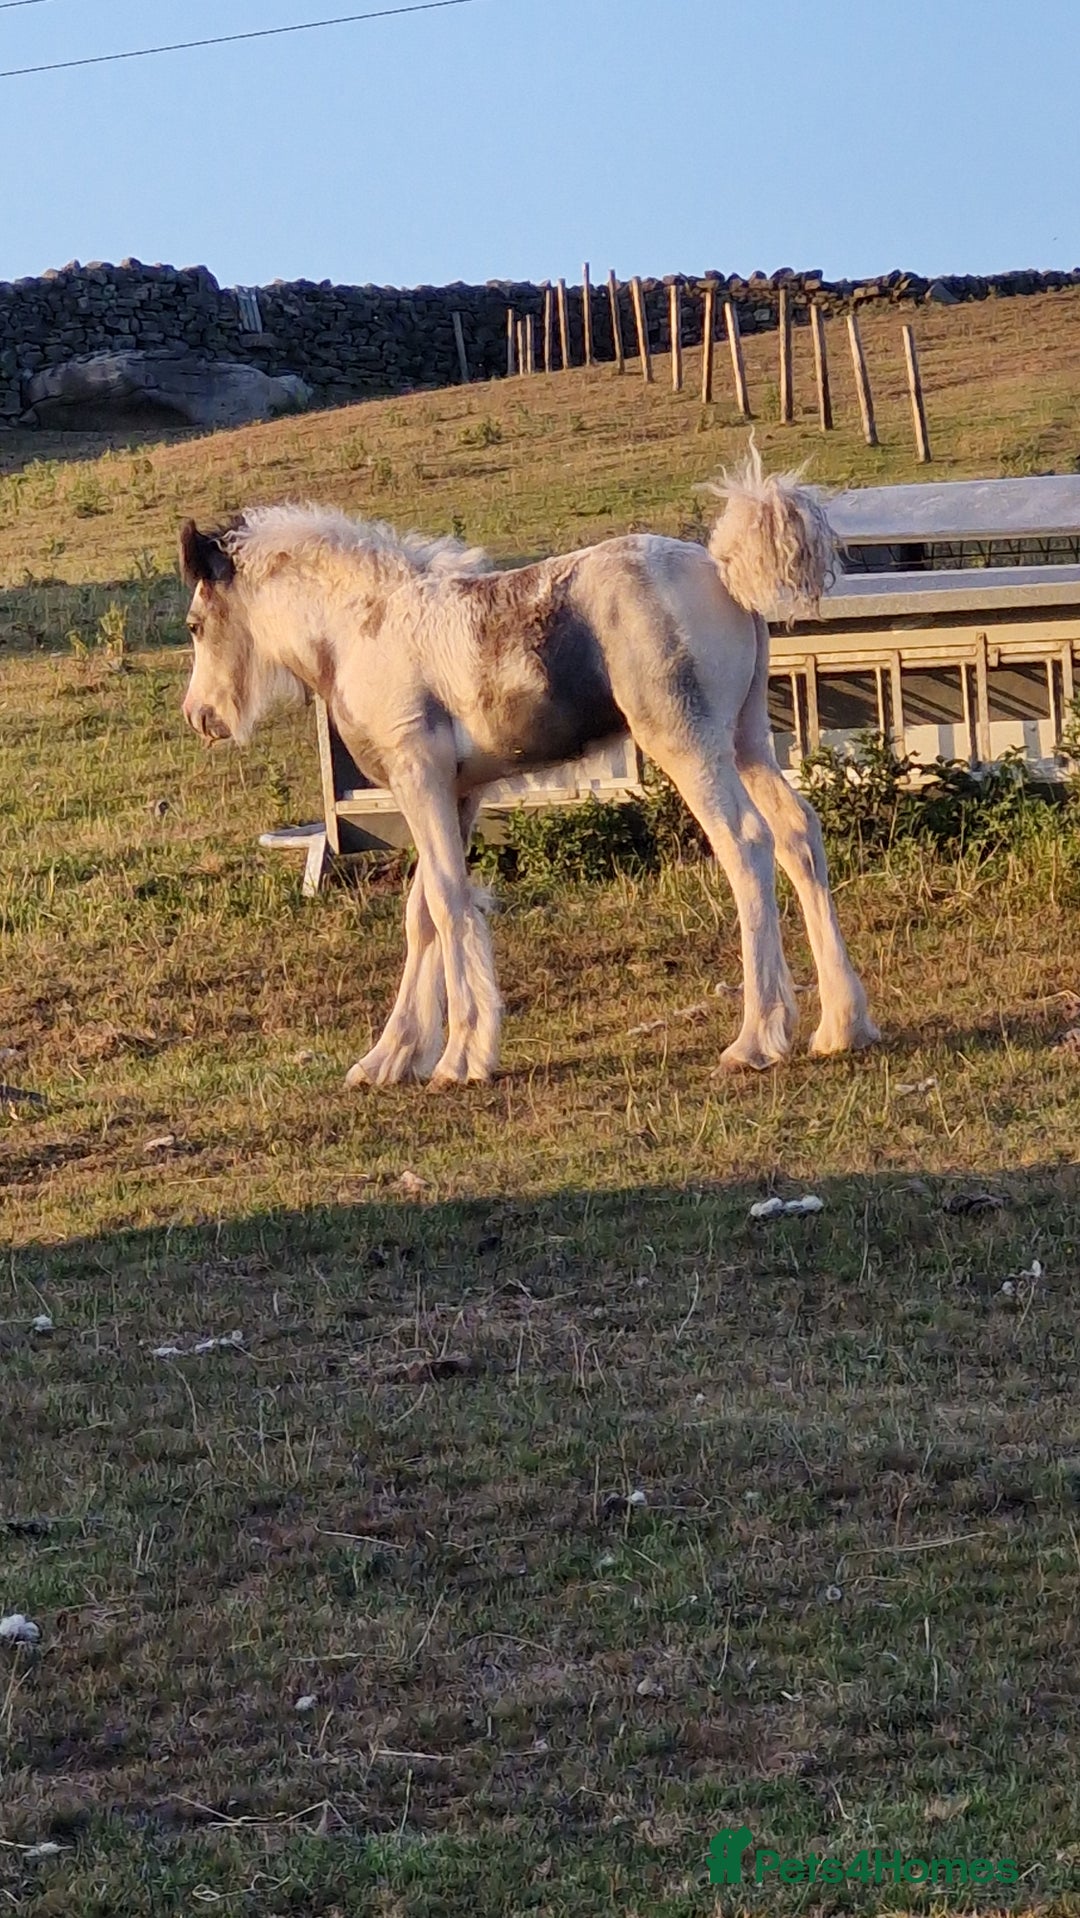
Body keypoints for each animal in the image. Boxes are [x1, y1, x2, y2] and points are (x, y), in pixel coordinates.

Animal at [178, 448, 878, 1088]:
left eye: (193, 624)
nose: (200, 716)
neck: (366, 628)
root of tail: (721, 570)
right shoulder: (456, 793)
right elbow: (422, 911)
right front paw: (389, 1058)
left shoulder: (418, 776)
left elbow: (448, 900)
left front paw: (460, 1058)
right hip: (747, 741)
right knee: (797, 834)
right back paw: (841, 1026)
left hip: (688, 745)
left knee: (747, 845)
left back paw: (756, 1040)